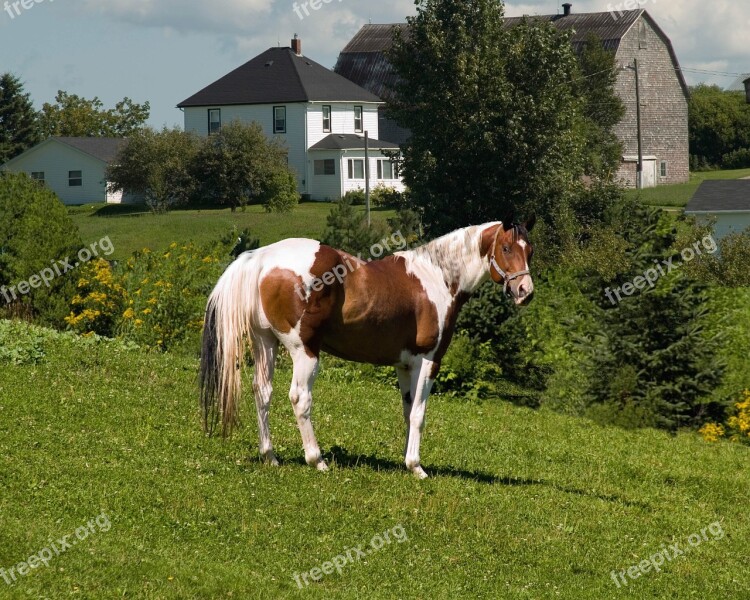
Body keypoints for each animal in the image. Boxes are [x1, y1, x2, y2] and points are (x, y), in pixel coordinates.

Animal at [201, 219, 536, 478]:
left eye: (529, 250)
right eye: (507, 249)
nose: (525, 292)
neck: (437, 277)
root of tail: (262, 257)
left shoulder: (405, 365)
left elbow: (407, 410)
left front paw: (406, 461)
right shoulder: (429, 361)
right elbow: (419, 414)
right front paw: (416, 467)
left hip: (265, 344)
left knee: (262, 392)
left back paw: (269, 455)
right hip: (304, 351)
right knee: (300, 397)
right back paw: (316, 459)